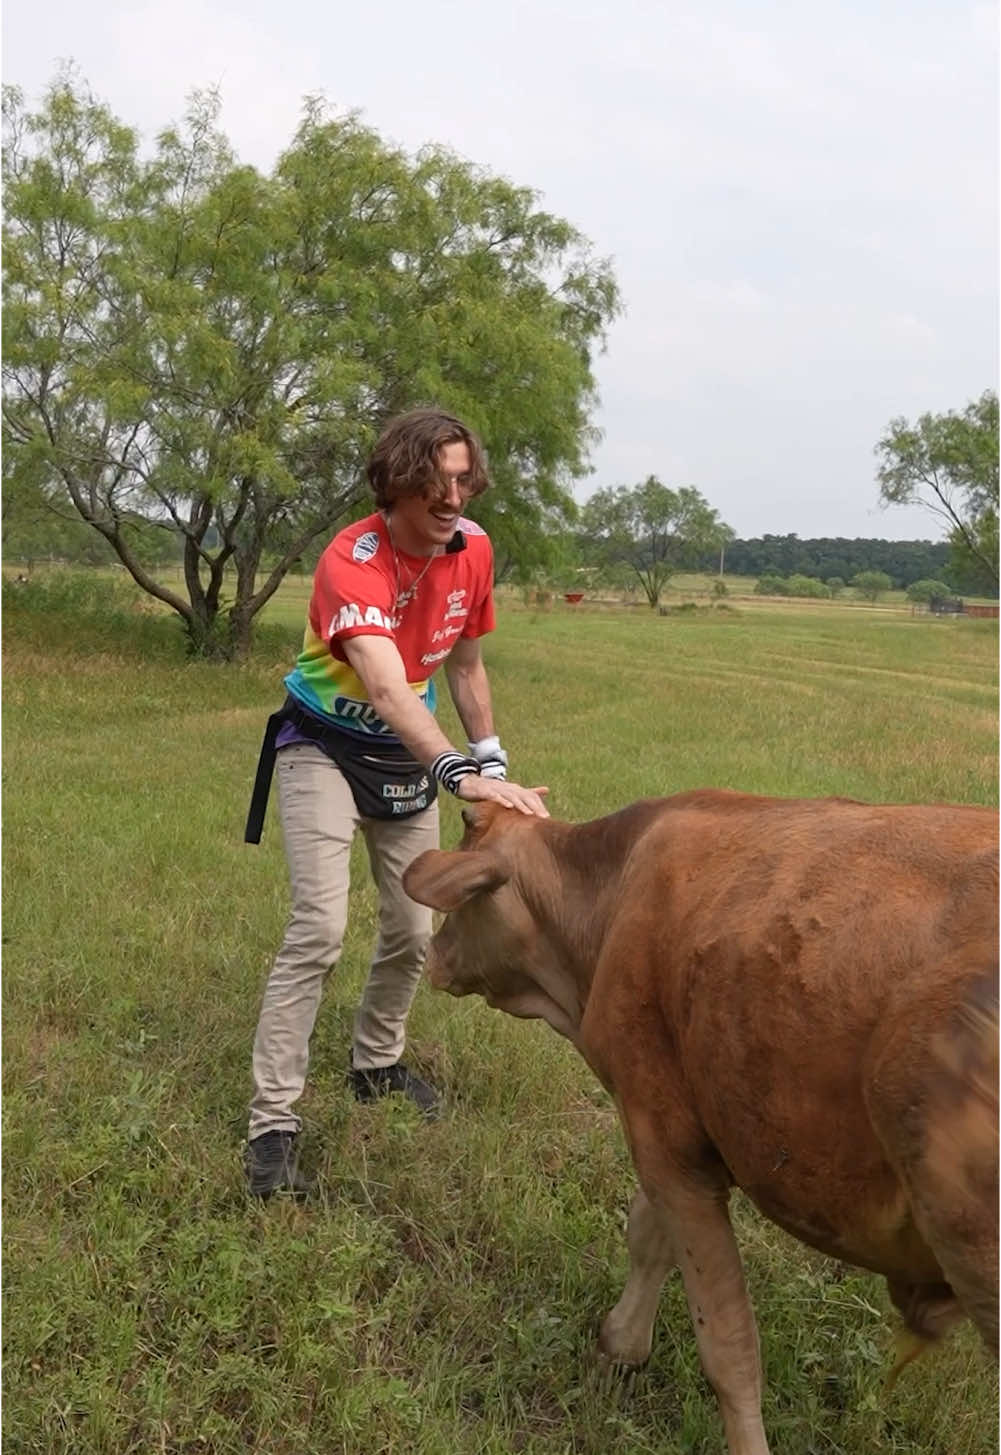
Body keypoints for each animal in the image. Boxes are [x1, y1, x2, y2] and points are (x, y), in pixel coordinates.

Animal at [401, 797, 995, 1455]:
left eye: (466, 889)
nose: (433, 958)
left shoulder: (661, 1130)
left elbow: (728, 1344)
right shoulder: (674, 1127)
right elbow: (648, 1234)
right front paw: (618, 1347)